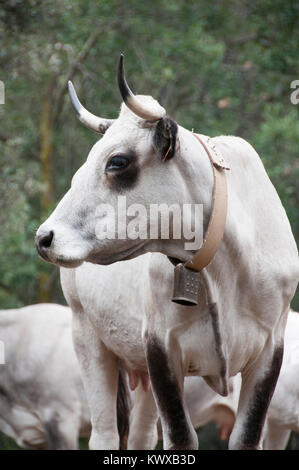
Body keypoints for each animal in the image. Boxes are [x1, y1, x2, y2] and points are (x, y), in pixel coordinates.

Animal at [35, 57, 299, 450]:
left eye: (117, 161)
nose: (45, 237)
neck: (225, 267)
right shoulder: (160, 347)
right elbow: (181, 436)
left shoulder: (269, 350)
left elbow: (246, 436)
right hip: (88, 337)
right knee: (105, 434)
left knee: (141, 435)